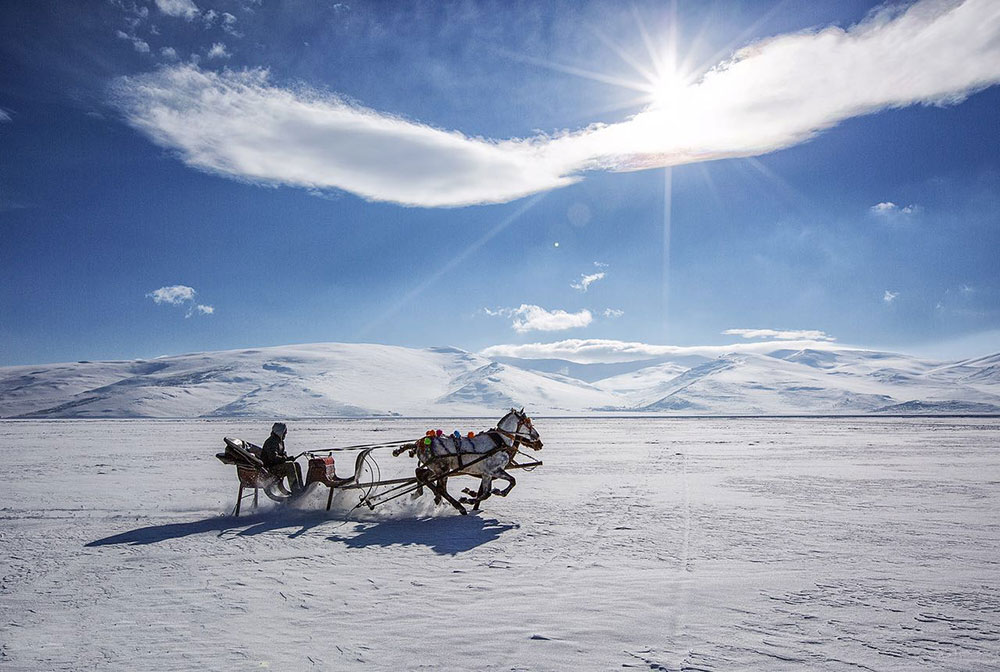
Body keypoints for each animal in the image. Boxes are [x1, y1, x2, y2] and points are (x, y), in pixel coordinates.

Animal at [394, 410, 544, 516]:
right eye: (528, 423)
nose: (538, 439)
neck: (500, 441)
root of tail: (418, 443)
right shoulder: (495, 470)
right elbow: (510, 482)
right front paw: (468, 499)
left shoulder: (487, 474)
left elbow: (488, 492)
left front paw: (478, 496)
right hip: (442, 469)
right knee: (440, 488)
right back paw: (458, 507)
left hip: (436, 469)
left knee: (421, 474)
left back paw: (418, 495)